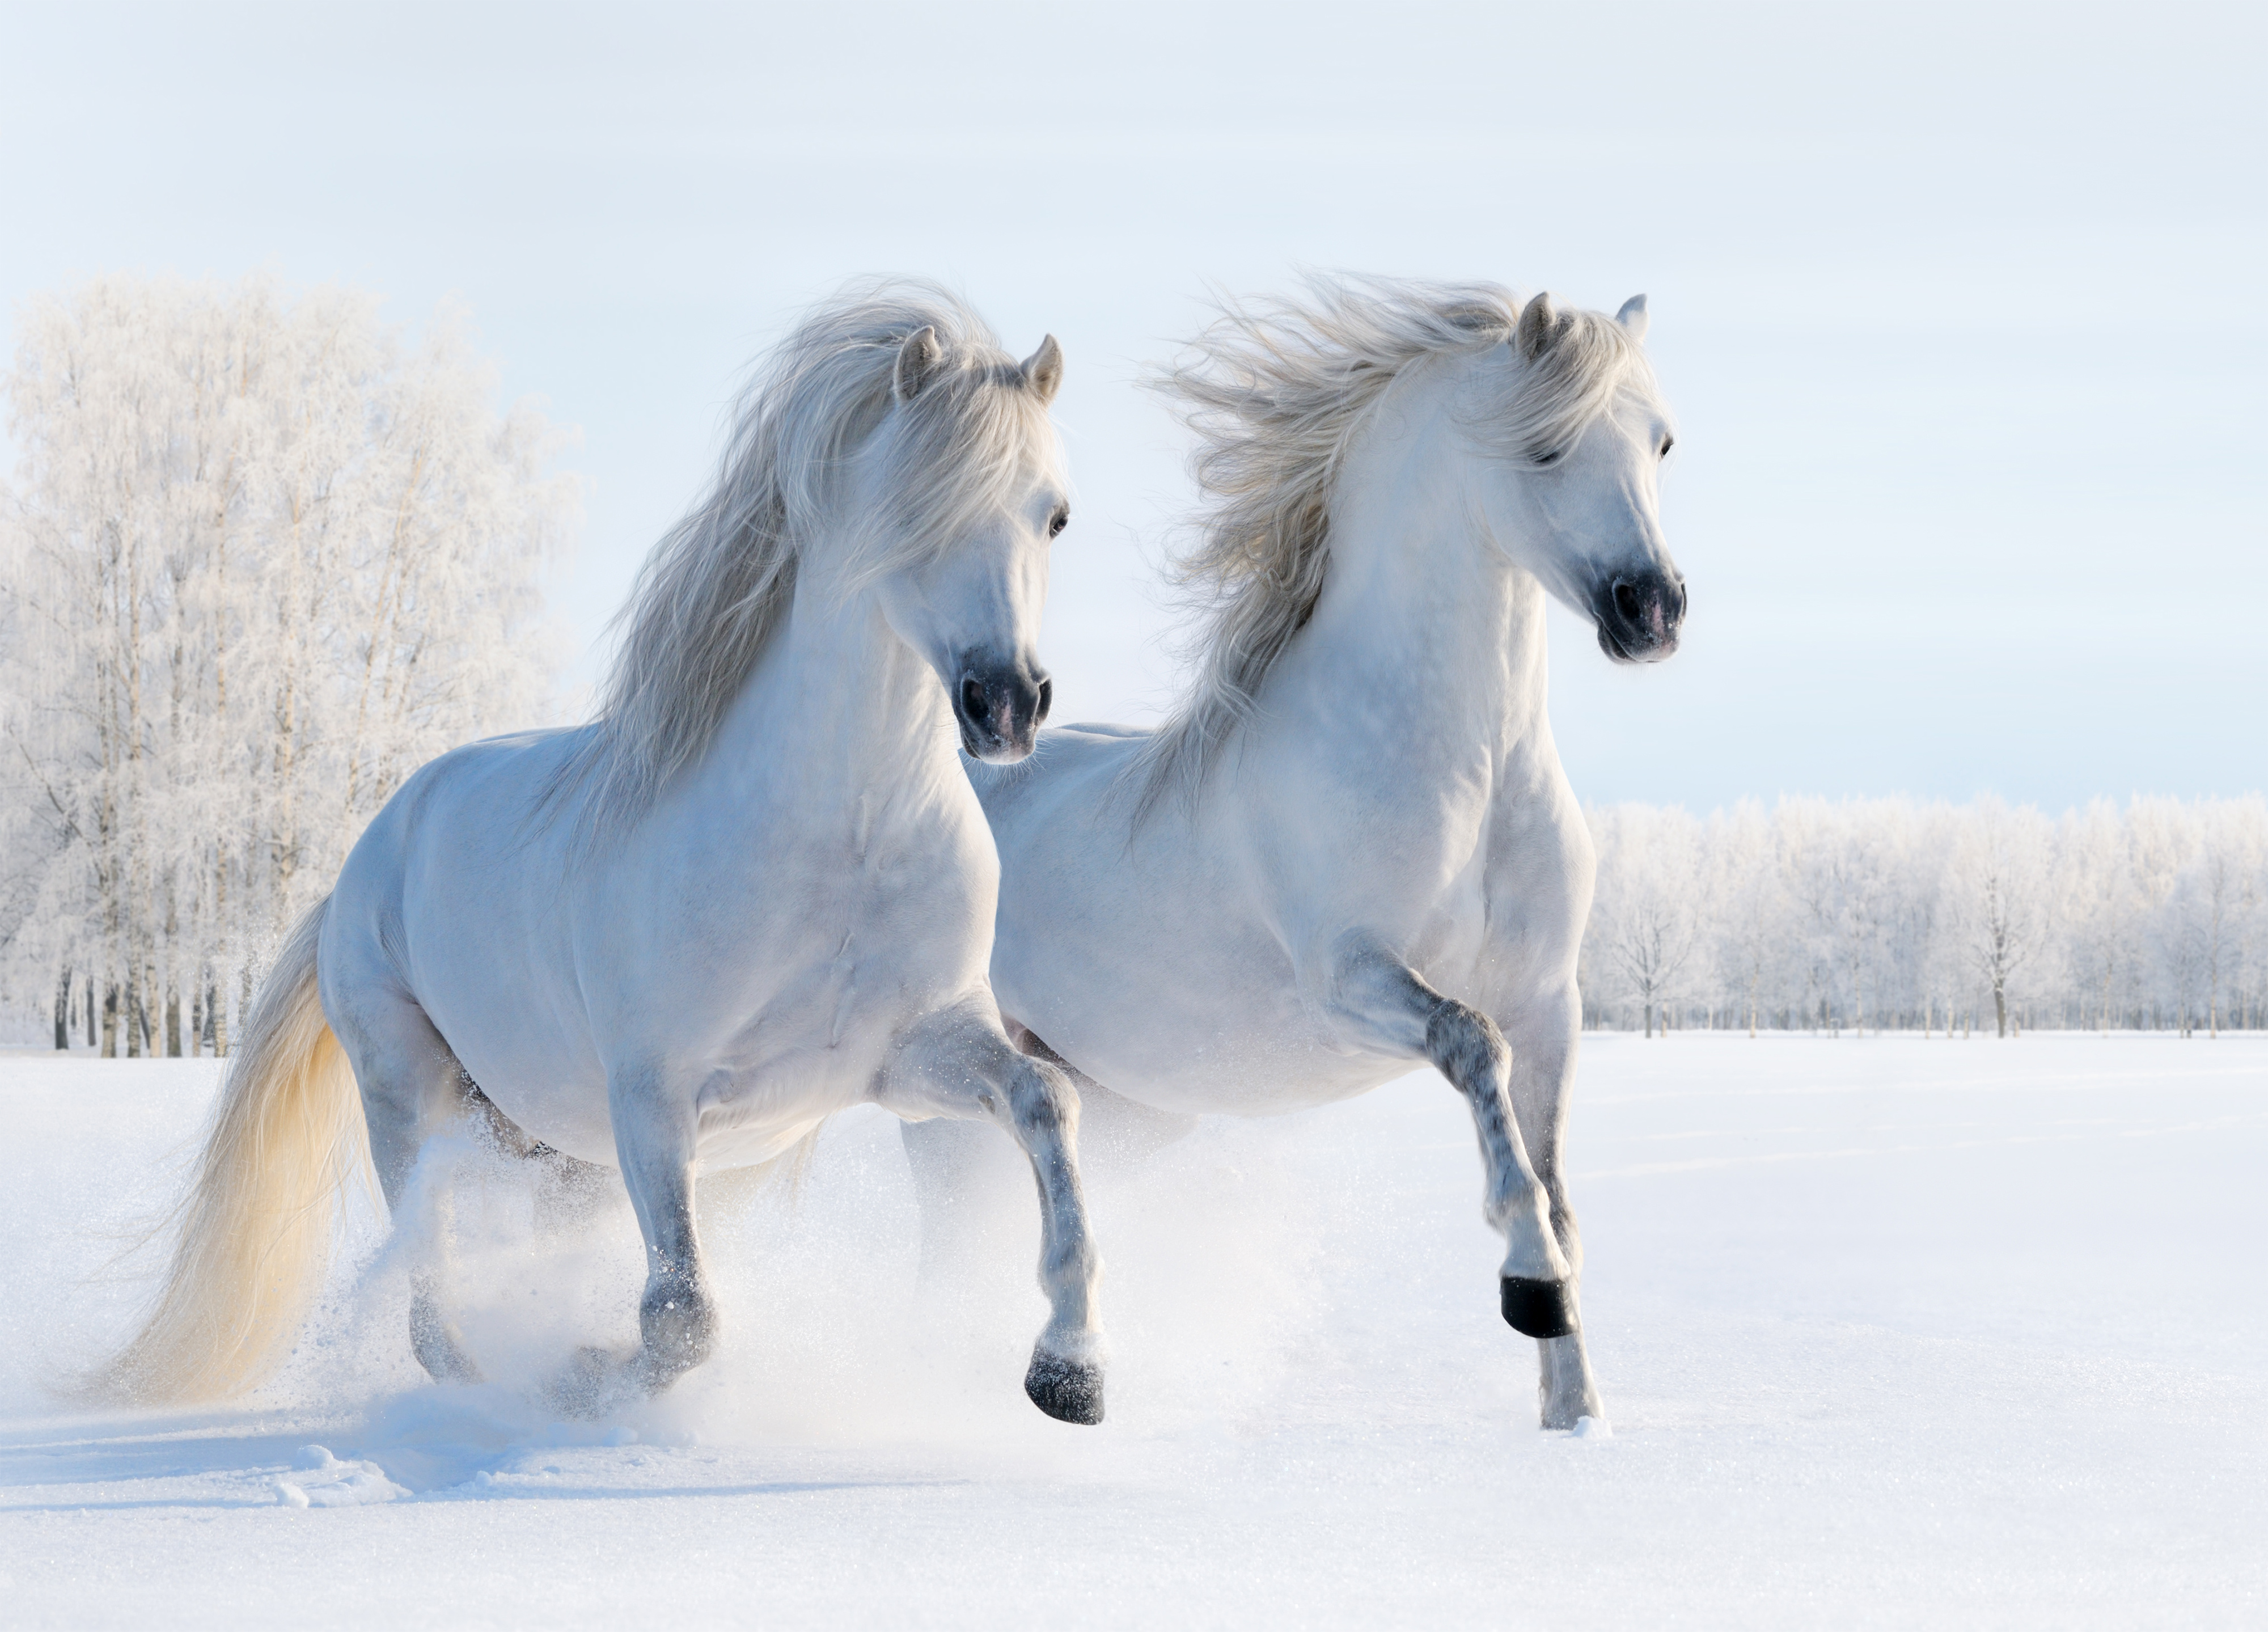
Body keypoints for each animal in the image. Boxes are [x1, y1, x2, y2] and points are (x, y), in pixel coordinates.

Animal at [102, 286, 1111, 1423]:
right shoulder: (653, 1100)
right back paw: (490, 1388)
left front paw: (1071, 1370)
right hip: (411, 1097)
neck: (840, 842)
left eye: (1053, 514)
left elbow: (1048, 1100)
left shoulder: (909, 1055)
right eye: (916, 507)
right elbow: (681, 1315)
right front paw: (585, 1377)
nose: (1007, 703)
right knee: (429, 1300)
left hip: (556, 1152)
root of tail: (364, 857)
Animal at [903, 277, 1687, 1432]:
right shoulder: (1352, 979)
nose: (1653, 610)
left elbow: (1557, 1187)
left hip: (1128, 1105)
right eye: (1545, 447)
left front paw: (1575, 1413)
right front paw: (1530, 1288)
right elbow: (1474, 1049)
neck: (1470, 769)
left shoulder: (1554, 1002)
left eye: (1661, 441)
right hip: (946, 1097)